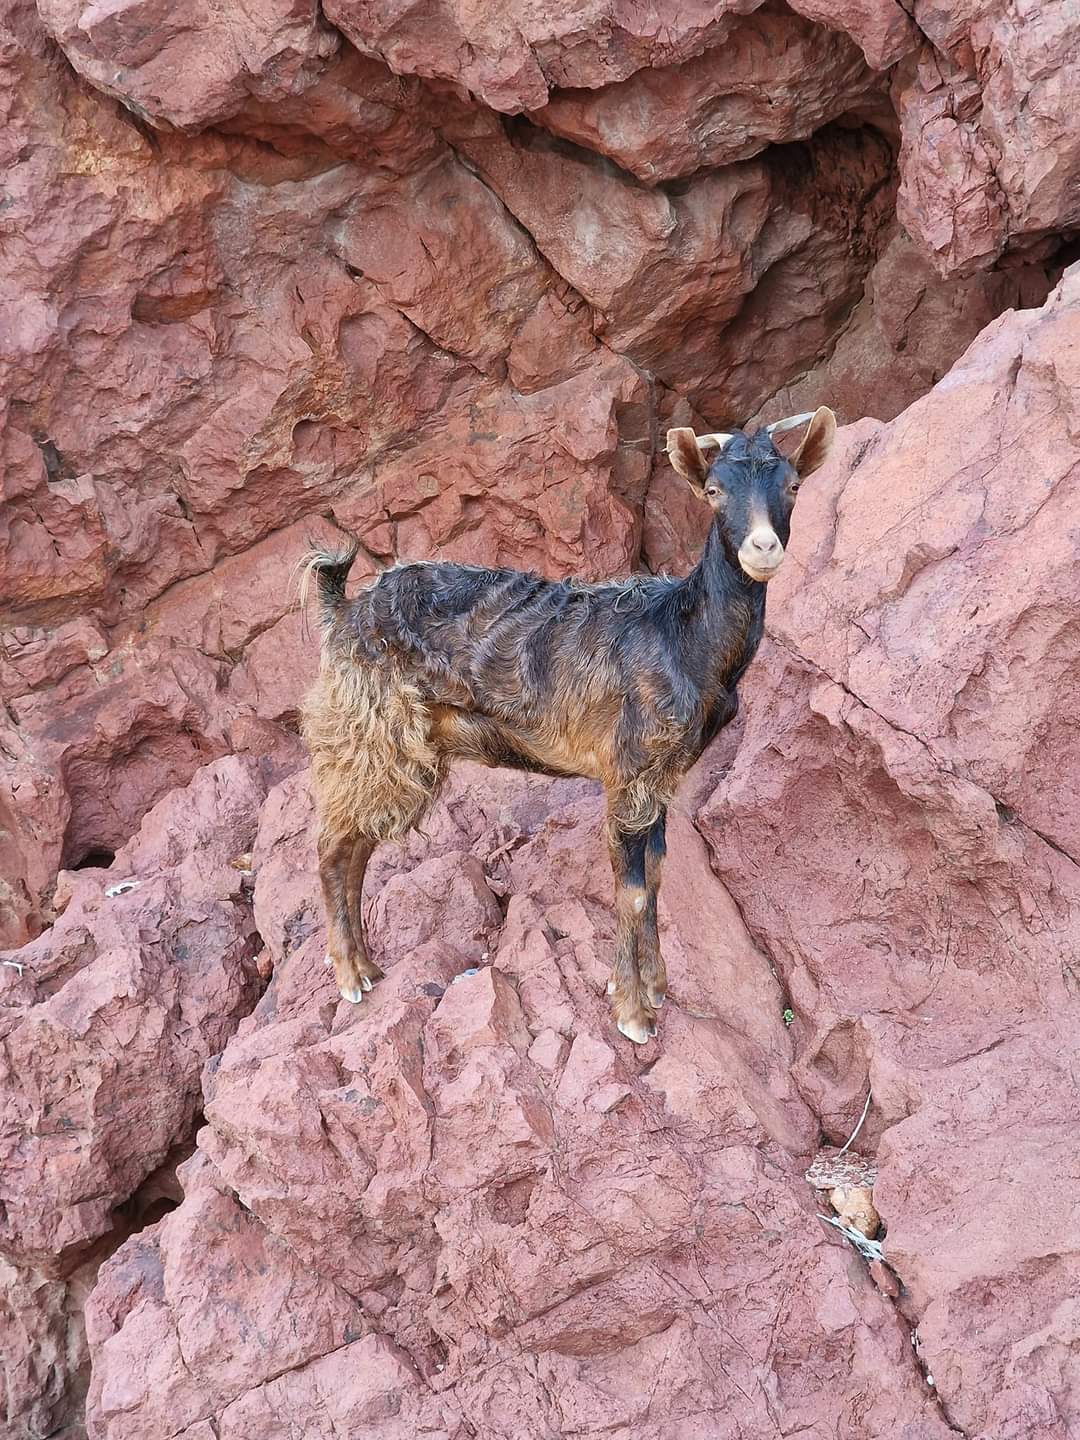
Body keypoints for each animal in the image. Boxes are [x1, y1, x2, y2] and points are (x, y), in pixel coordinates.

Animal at [300, 406, 840, 1048]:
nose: (763, 548)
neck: (684, 636)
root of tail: (341, 613)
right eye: (713, 491)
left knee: (357, 845)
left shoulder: (660, 778)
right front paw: (632, 1013)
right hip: (370, 732)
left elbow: (657, 872)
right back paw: (350, 975)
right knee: (334, 844)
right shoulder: (630, 771)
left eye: (793, 485)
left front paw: (654, 985)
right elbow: (633, 890)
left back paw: (366, 965)